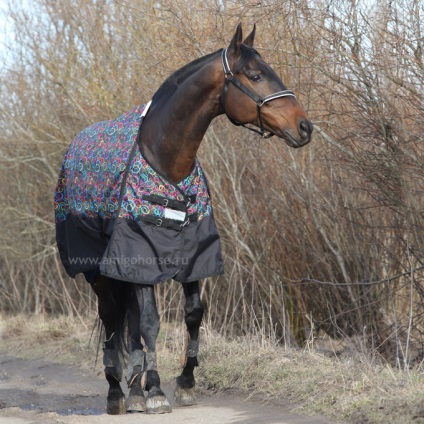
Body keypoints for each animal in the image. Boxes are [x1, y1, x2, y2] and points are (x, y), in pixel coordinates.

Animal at [53, 23, 312, 414]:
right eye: (255, 75)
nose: (304, 127)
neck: (166, 161)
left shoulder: (193, 255)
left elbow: (192, 314)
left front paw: (185, 383)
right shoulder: (140, 256)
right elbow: (150, 323)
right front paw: (158, 391)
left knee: (128, 323)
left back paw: (135, 390)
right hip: (97, 270)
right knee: (111, 318)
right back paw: (117, 392)